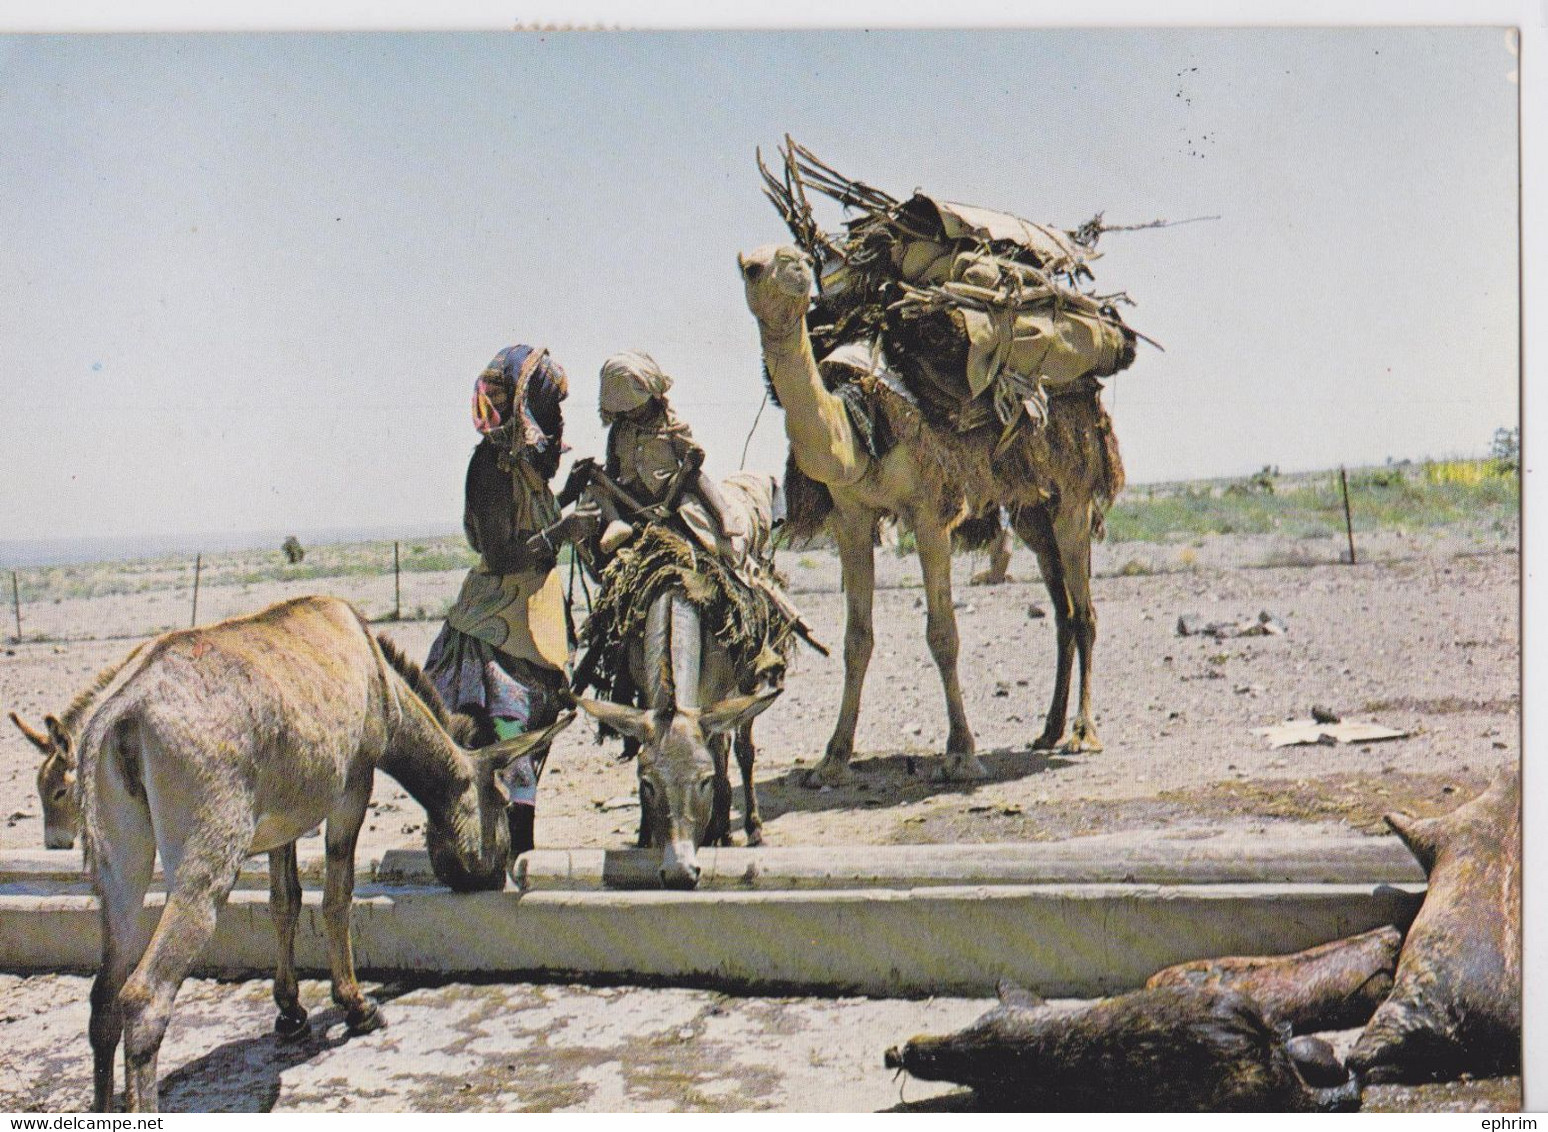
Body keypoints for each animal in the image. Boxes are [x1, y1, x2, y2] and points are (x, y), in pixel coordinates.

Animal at [54, 597, 578, 1108]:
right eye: (503, 800)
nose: (492, 877)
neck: (383, 685)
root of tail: (122, 718)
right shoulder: (353, 786)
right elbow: (336, 899)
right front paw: (358, 1006)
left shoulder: (282, 823)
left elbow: (284, 903)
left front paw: (290, 1010)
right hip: (205, 860)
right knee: (145, 999)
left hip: (119, 868)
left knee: (103, 996)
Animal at [739, 243, 1126, 783]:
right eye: (750, 267)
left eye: (789, 256)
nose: (795, 268)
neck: (857, 424)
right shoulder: (851, 518)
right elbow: (856, 639)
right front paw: (832, 759)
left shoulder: (931, 513)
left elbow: (943, 634)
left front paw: (961, 753)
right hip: (1031, 508)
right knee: (1063, 612)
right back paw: (1048, 730)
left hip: (1073, 490)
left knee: (1085, 611)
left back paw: (1083, 734)